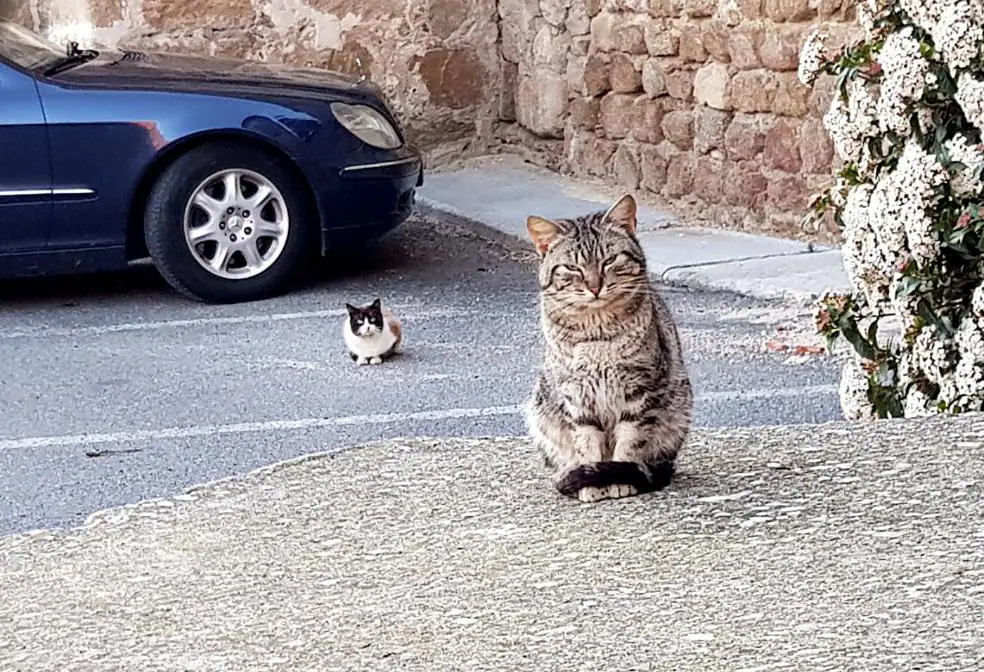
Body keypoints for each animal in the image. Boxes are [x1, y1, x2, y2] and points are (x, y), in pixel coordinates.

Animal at [524, 192, 692, 502]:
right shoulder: (576, 396)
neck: (597, 332)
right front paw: (592, 484)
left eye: (609, 260)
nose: (594, 286)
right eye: (572, 268)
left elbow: (629, 441)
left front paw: (619, 480)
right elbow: (587, 444)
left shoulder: (638, 390)